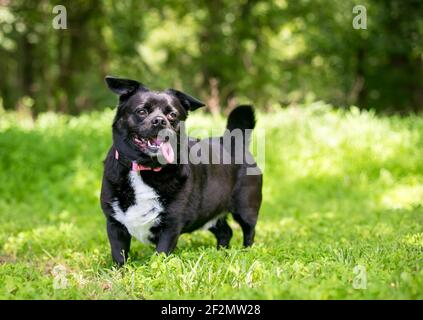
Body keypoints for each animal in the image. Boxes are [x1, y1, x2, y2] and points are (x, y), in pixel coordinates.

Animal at [101, 75, 264, 264]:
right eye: (141, 111)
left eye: (172, 115)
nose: (160, 121)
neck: (145, 168)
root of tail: (232, 141)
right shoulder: (115, 225)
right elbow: (119, 256)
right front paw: (120, 270)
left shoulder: (170, 227)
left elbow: (160, 255)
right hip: (209, 212)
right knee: (226, 232)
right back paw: (221, 253)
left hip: (246, 209)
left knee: (249, 232)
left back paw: (246, 253)